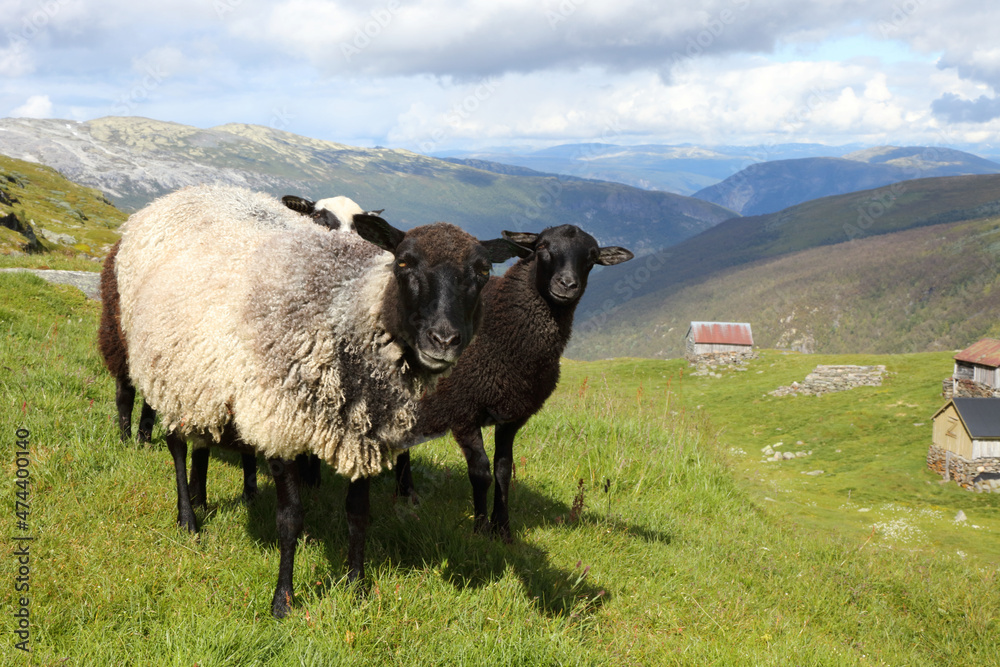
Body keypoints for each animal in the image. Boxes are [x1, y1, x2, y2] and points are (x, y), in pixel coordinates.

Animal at [114, 184, 518, 618]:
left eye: (482, 272)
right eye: (404, 262)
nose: (444, 339)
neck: (342, 307)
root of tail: (192, 190)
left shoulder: (363, 434)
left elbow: (358, 514)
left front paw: (356, 586)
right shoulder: (282, 423)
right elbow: (290, 518)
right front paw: (283, 600)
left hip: (204, 379)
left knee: (202, 440)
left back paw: (200, 498)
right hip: (165, 370)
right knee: (176, 444)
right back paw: (188, 518)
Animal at [395, 224, 634, 542]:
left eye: (592, 257)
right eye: (542, 246)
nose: (567, 284)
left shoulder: (512, 417)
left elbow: (503, 471)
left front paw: (503, 530)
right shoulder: (462, 409)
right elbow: (481, 473)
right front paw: (480, 529)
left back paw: (404, 493)